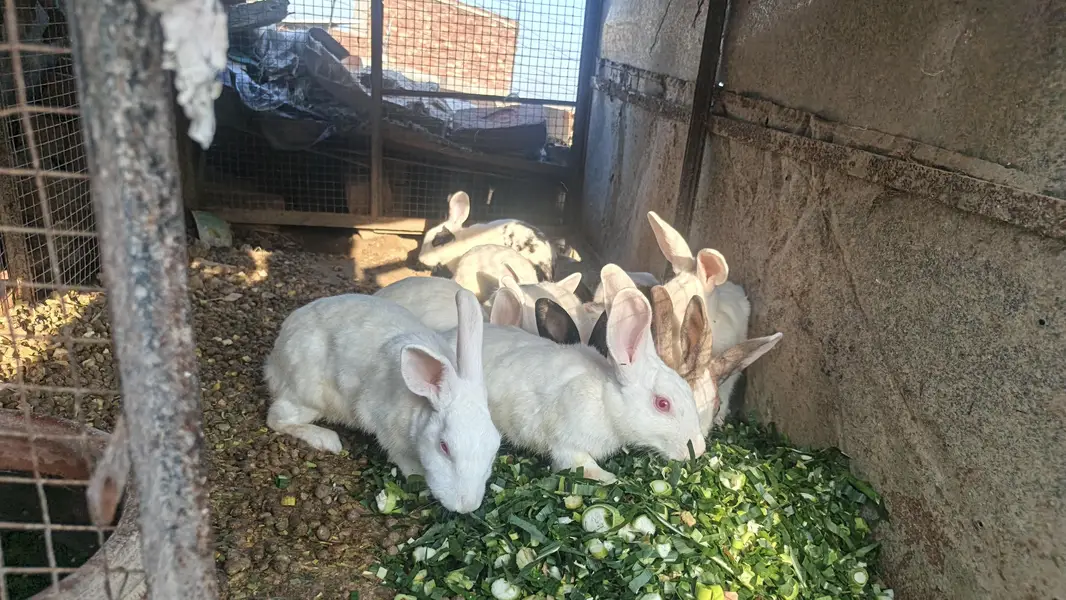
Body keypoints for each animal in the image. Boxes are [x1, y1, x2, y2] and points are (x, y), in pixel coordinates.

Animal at [264, 290, 501, 514]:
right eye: (444, 447)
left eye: (494, 448)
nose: (466, 506)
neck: (420, 401)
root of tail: (275, 357)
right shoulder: (386, 429)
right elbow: (400, 457)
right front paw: (417, 475)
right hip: (308, 396)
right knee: (276, 419)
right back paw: (327, 439)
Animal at [451, 287, 705, 483]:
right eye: (662, 404)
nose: (699, 449)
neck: (605, 402)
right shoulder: (567, 444)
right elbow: (582, 465)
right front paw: (610, 478)